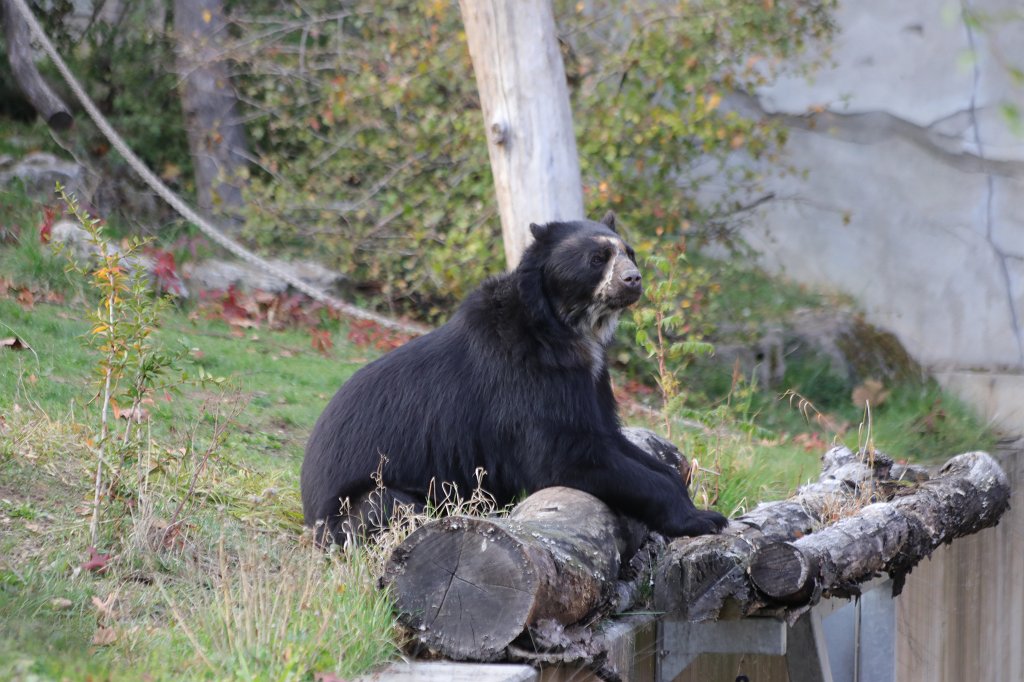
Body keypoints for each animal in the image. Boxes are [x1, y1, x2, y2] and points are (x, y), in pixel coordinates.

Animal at [301, 212, 728, 544]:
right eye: (597, 258)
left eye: (630, 253)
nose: (634, 280)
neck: (567, 331)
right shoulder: (524, 379)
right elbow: (563, 456)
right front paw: (704, 519)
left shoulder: (590, 381)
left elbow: (612, 440)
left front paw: (696, 504)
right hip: (357, 506)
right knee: (388, 506)